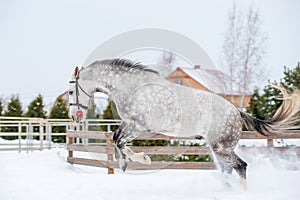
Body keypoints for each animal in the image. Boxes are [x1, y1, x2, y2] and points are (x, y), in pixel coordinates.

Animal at [68, 59, 300, 184]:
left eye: (71, 91)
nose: (73, 116)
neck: (132, 87)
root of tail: (237, 111)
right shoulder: (129, 123)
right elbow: (117, 139)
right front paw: (128, 162)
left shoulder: (138, 125)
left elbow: (118, 141)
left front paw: (139, 160)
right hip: (219, 149)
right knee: (229, 170)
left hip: (222, 147)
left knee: (241, 166)